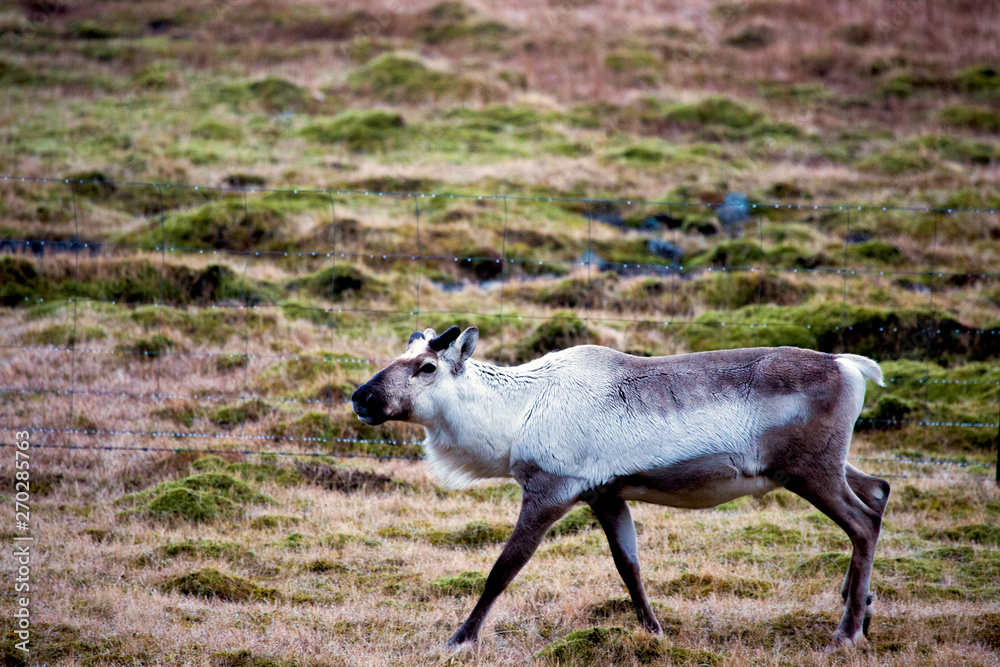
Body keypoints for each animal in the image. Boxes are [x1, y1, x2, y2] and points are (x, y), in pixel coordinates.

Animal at [351, 326, 890, 650]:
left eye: (427, 367)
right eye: (403, 356)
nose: (361, 397)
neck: (515, 414)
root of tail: (851, 366)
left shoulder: (551, 491)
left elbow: (502, 570)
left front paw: (460, 638)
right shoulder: (606, 495)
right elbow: (629, 568)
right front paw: (656, 632)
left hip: (810, 471)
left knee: (862, 522)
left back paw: (846, 633)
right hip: (824, 466)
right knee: (879, 491)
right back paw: (860, 607)